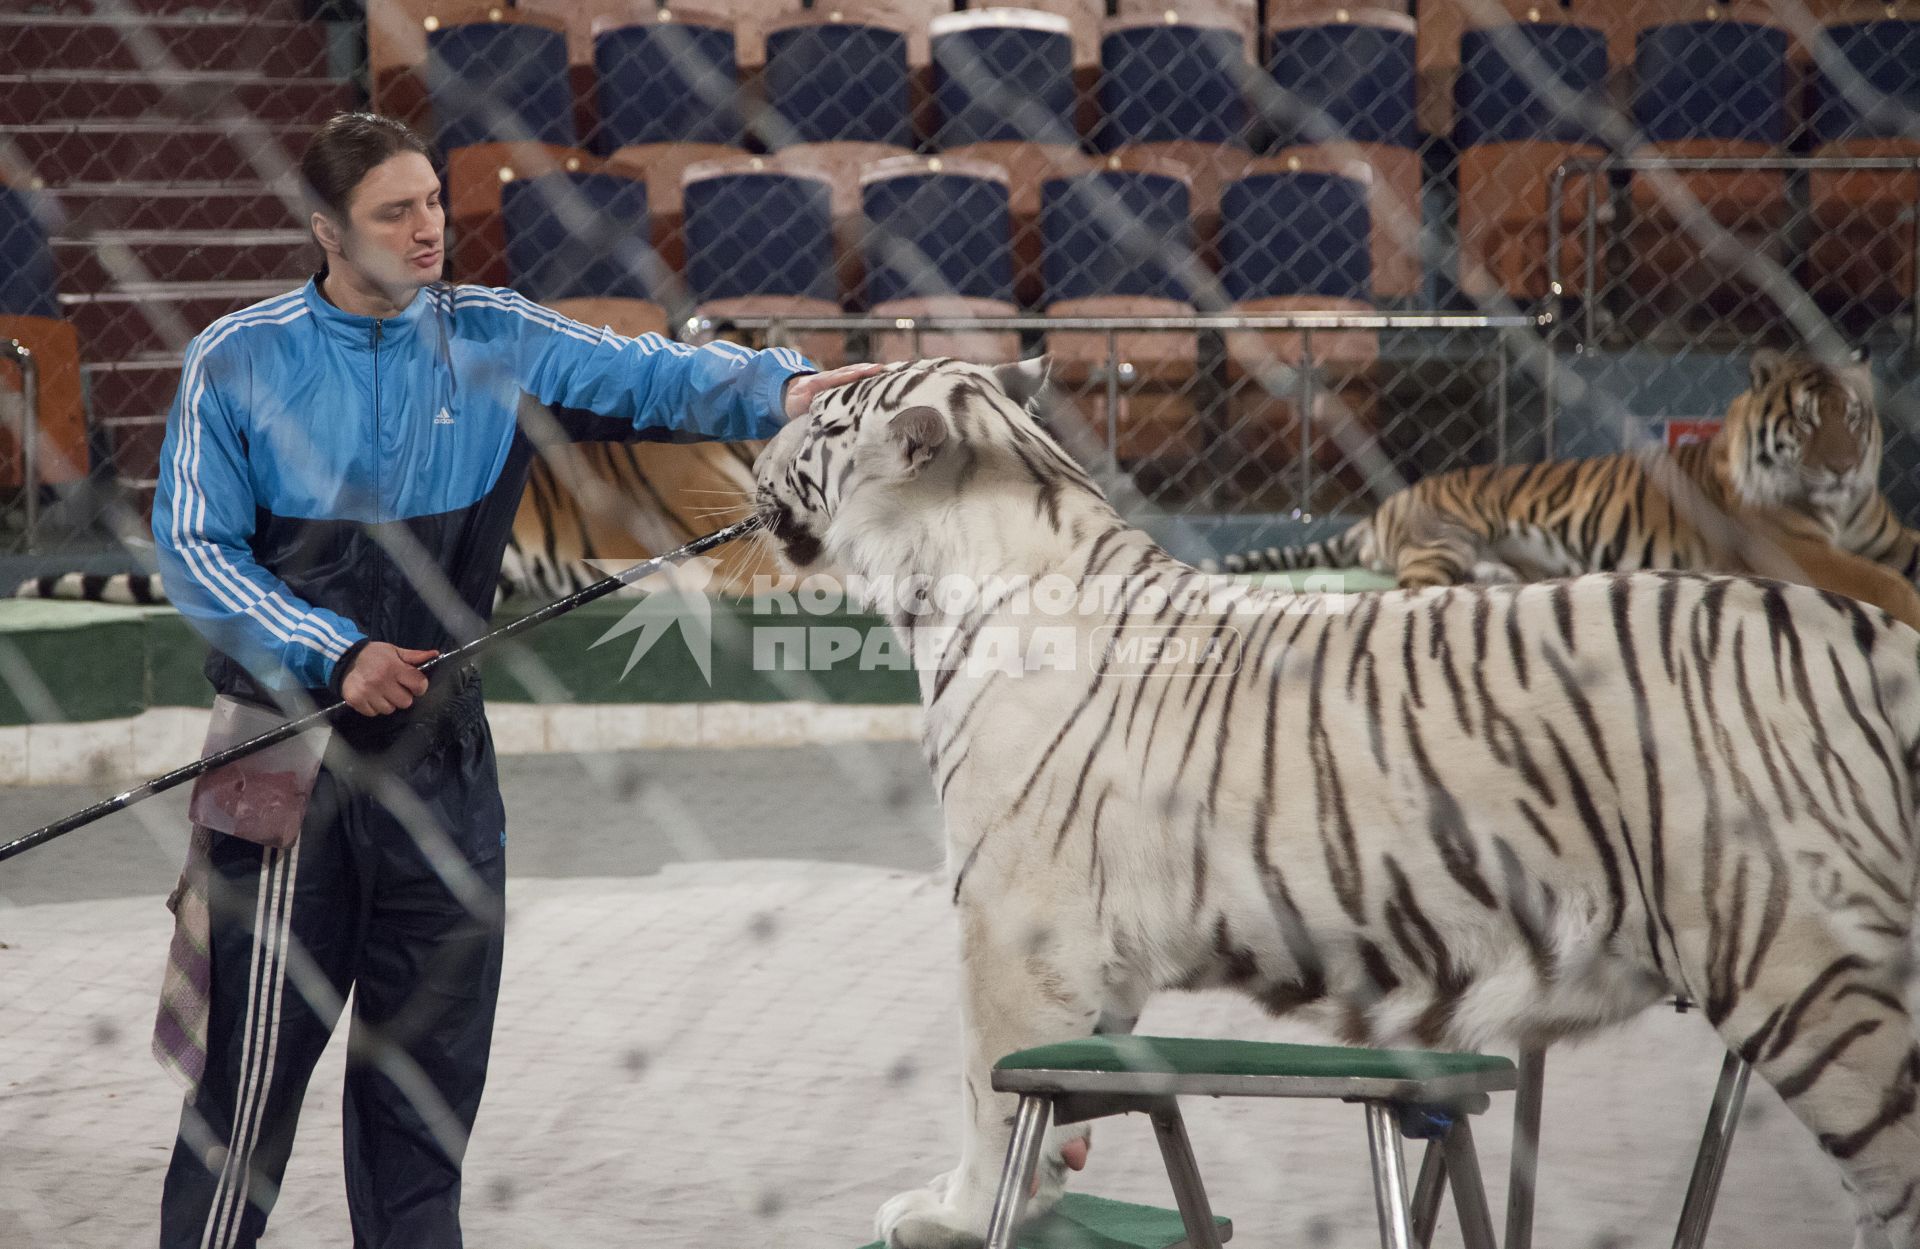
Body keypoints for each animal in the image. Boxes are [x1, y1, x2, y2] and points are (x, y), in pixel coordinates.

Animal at [752, 356, 1920, 1249]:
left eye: (830, 419)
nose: (763, 435)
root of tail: (1869, 635)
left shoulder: (1012, 923)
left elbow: (989, 1089)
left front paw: (952, 1213)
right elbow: (1062, 1084)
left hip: (1812, 979)